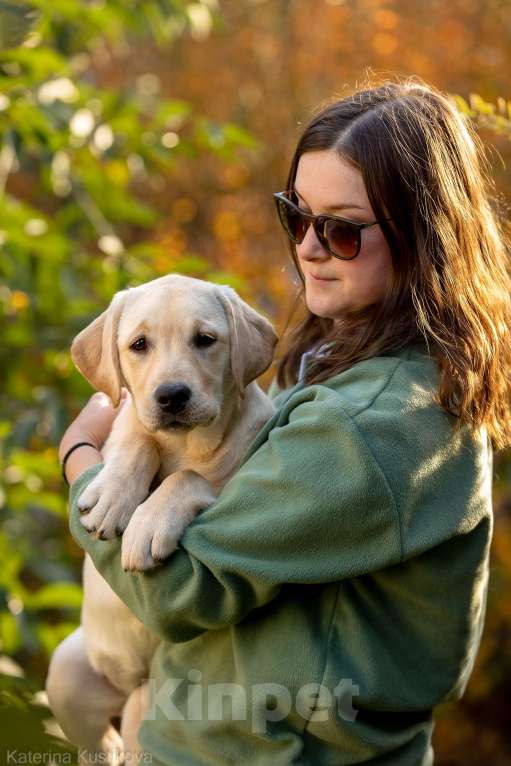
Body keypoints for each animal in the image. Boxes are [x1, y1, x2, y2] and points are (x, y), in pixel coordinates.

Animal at [46, 274, 278, 760]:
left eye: (205, 340)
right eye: (139, 345)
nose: (171, 395)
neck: (184, 443)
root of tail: (137, 680)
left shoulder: (246, 469)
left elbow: (189, 477)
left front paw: (149, 524)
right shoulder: (123, 425)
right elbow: (137, 438)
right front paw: (113, 496)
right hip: (70, 670)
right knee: (100, 744)